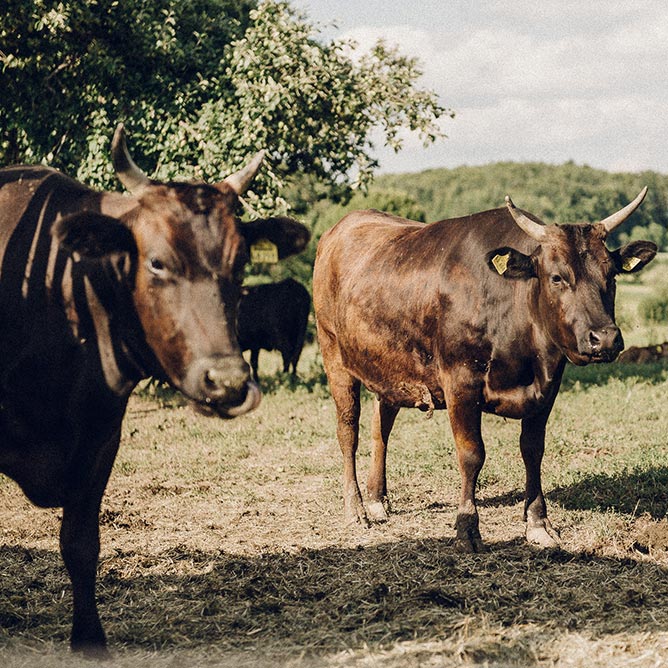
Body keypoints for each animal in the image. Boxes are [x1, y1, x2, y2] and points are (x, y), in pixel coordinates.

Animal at [0, 124, 310, 652]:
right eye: (158, 263)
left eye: (241, 263)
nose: (227, 382)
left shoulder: (100, 435)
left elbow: (81, 545)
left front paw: (90, 642)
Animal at [314, 189, 656, 552]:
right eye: (557, 277)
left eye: (612, 275)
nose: (604, 338)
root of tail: (341, 227)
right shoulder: (460, 382)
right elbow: (472, 454)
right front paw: (467, 527)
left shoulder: (549, 385)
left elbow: (533, 450)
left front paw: (538, 523)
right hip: (334, 354)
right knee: (348, 430)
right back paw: (356, 508)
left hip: (390, 367)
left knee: (382, 427)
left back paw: (377, 500)